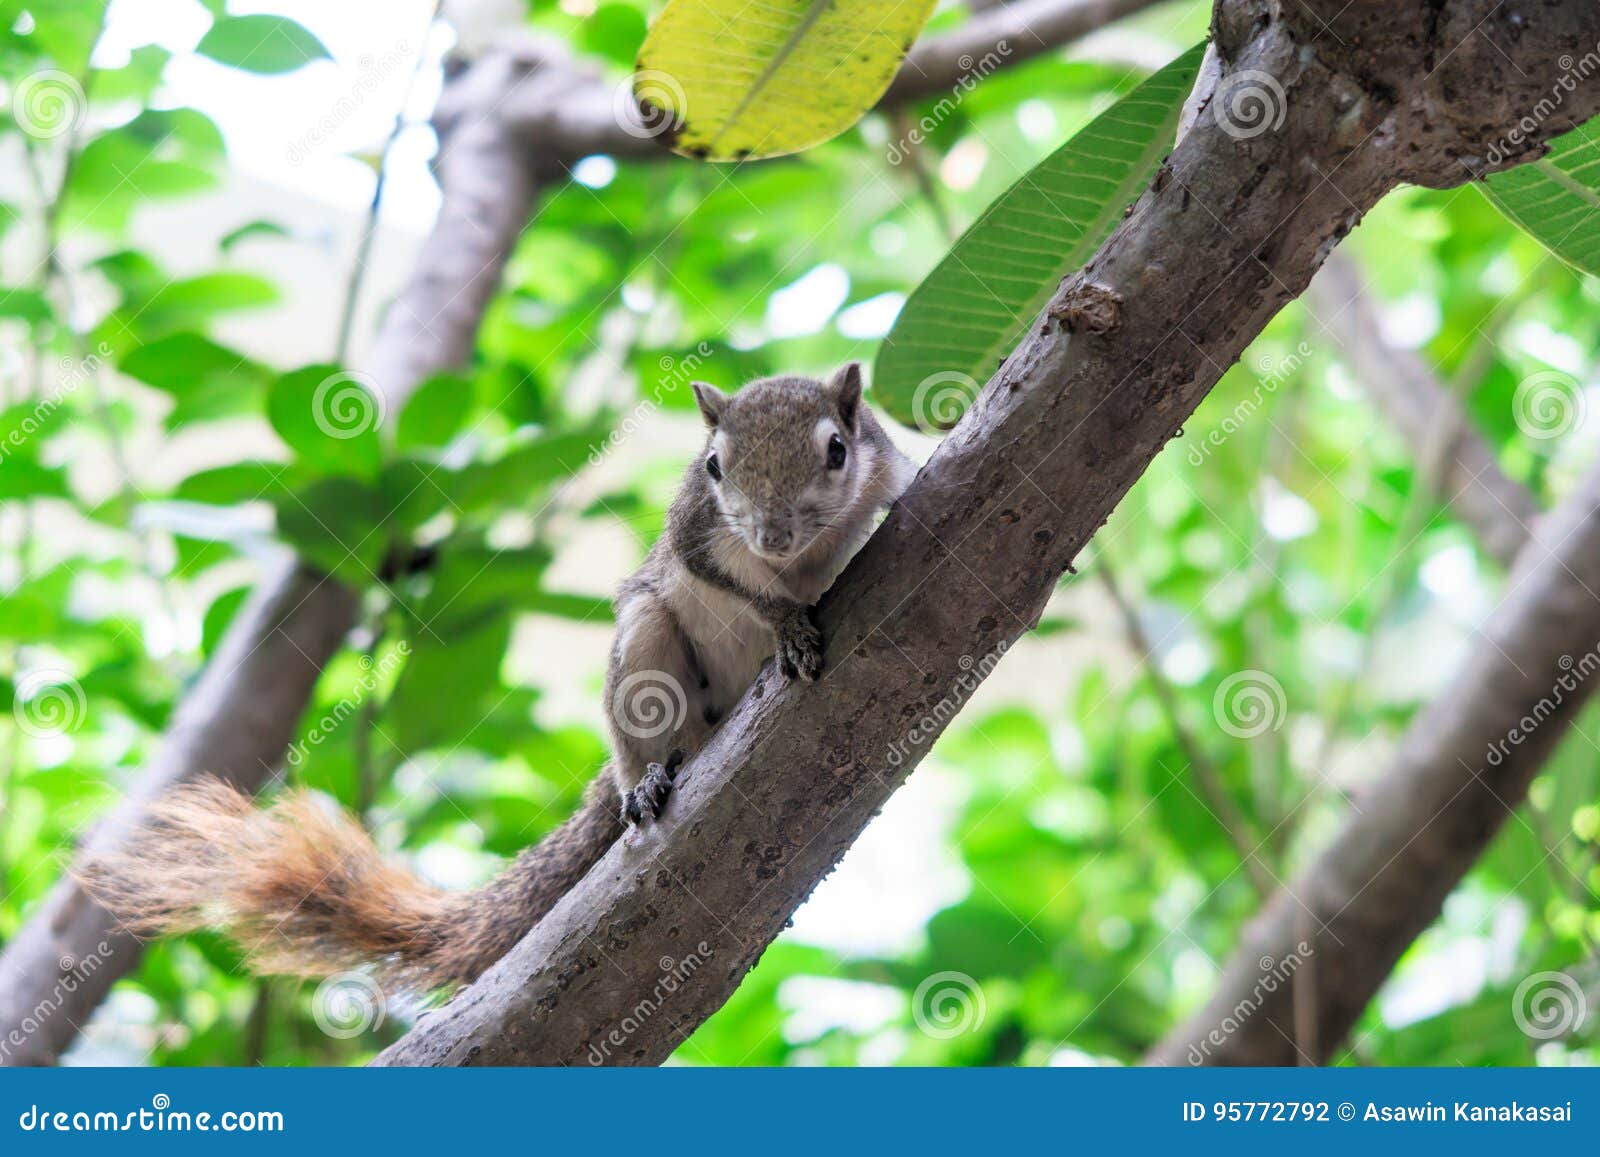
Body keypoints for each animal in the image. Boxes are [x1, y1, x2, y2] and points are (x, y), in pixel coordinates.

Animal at [83, 363, 915, 994]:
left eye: (836, 449)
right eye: (714, 465)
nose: (771, 535)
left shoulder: (886, 471)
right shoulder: (693, 526)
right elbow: (717, 571)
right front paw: (785, 620)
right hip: (647, 647)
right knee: (639, 726)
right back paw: (643, 782)